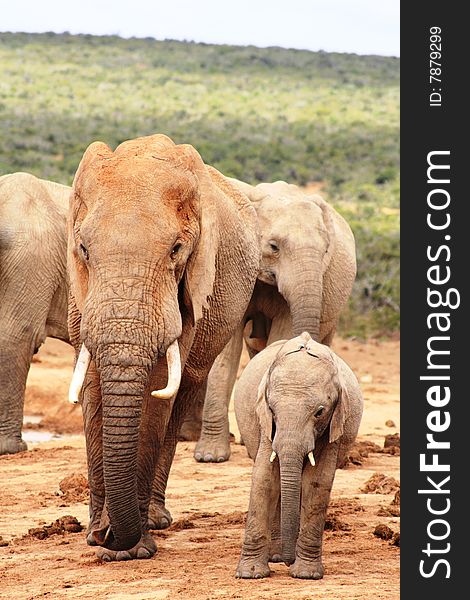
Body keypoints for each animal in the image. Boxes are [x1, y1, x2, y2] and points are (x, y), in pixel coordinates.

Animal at [68, 134, 260, 560]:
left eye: (176, 249)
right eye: (84, 249)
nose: (106, 535)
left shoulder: (189, 291)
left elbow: (157, 390)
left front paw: (130, 549)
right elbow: (92, 386)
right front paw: (97, 538)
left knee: (184, 390)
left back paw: (156, 520)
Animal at [235, 330, 364, 580]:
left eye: (320, 412)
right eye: (272, 409)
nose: (289, 561)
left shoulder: (333, 426)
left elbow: (317, 483)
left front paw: (305, 574)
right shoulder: (267, 426)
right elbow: (265, 479)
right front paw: (250, 574)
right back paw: (275, 556)